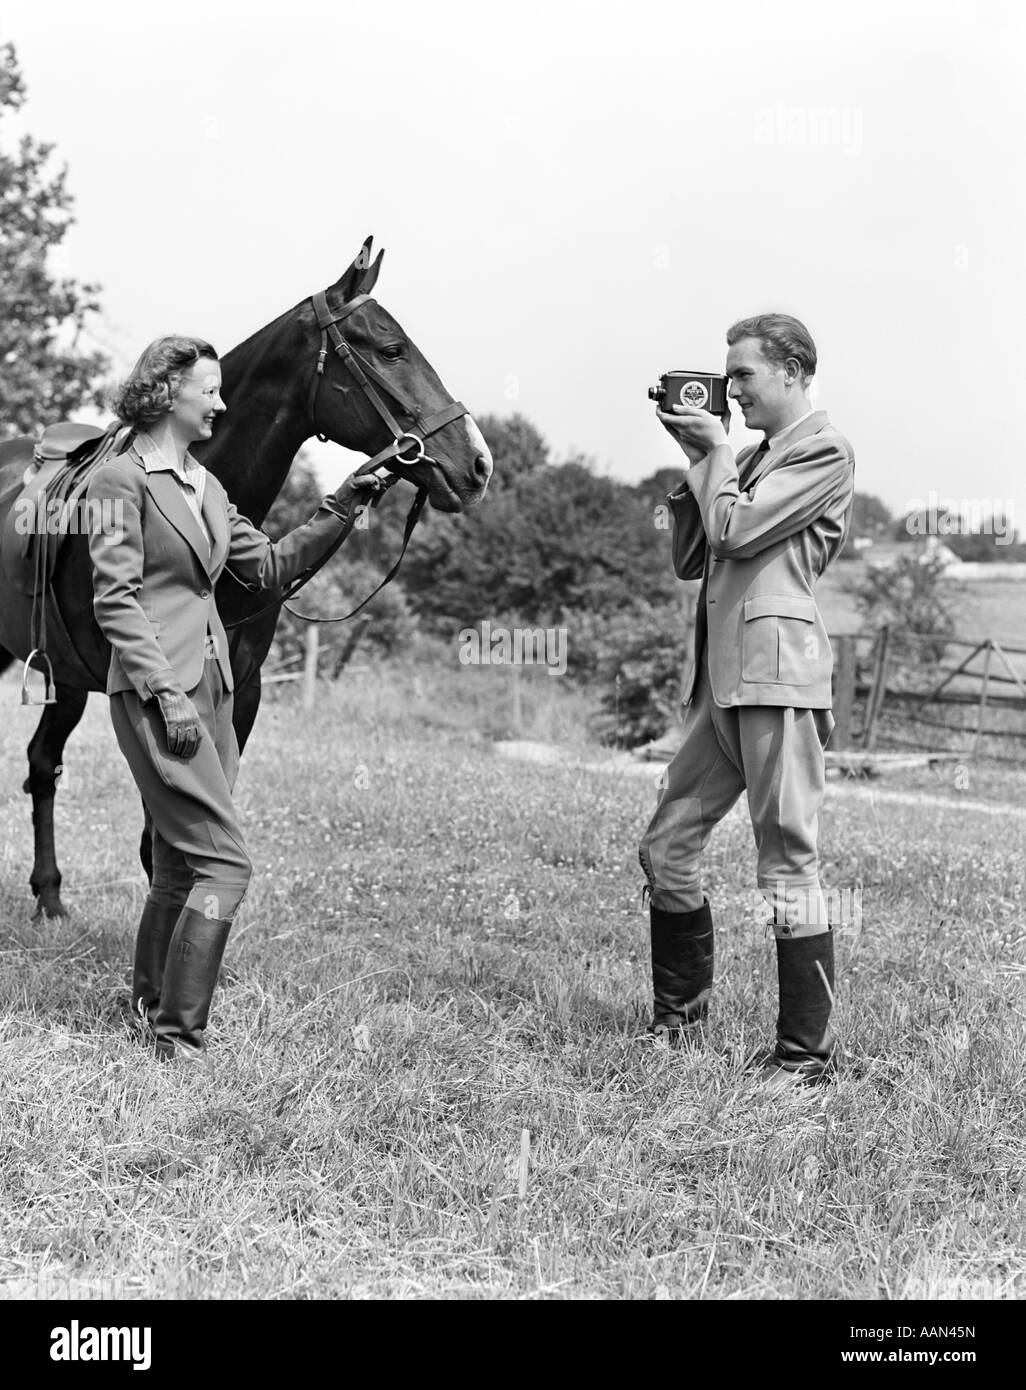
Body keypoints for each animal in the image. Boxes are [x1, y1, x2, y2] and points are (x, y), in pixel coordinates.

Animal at [0, 233, 492, 917]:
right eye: (391, 350)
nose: (478, 464)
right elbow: (165, 840)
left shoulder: (243, 696)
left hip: (62, 675)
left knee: (42, 763)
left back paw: (49, 896)